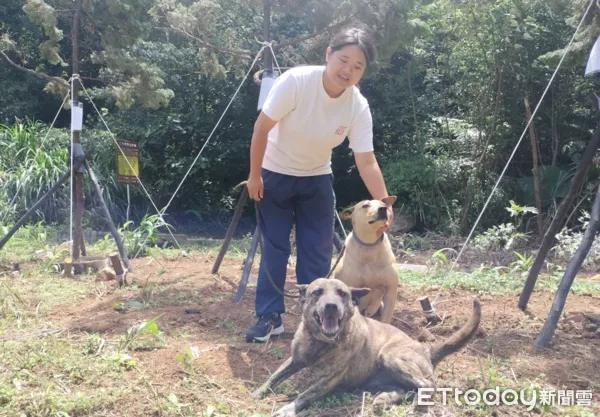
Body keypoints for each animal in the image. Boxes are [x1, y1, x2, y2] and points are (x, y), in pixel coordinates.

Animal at [253, 276, 482, 416]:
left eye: (342, 293)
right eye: (317, 292)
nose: (331, 306)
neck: (320, 342)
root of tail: (425, 349)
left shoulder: (329, 379)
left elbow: (304, 395)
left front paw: (288, 408)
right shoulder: (294, 360)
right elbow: (274, 377)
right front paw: (258, 392)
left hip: (390, 356)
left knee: (428, 384)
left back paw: (418, 407)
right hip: (382, 379)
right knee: (403, 389)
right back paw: (384, 399)